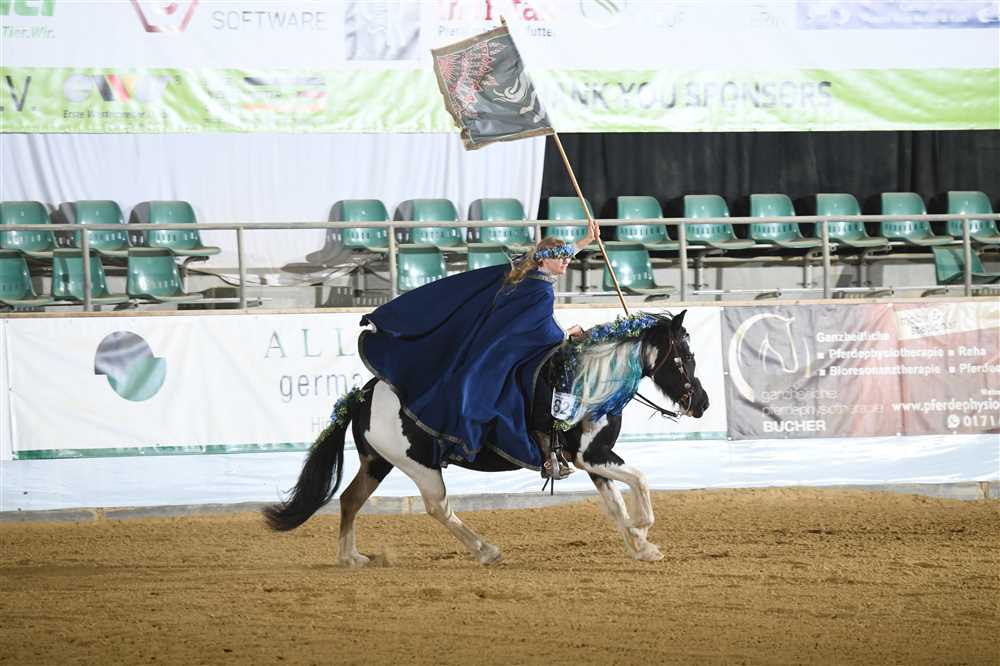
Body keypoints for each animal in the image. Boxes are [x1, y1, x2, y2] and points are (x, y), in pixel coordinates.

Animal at [263, 310, 709, 565]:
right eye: (685, 357)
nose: (702, 403)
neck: (591, 382)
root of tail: (362, 394)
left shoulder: (595, 460)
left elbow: (615, 506)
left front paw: (642, 547)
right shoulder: (593, 455)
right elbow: (640, 483)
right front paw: (643, 528)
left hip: (379, 463)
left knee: (350, 499)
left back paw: (350, 556)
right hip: (418, 466)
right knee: (438, 508)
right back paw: (486, 551)